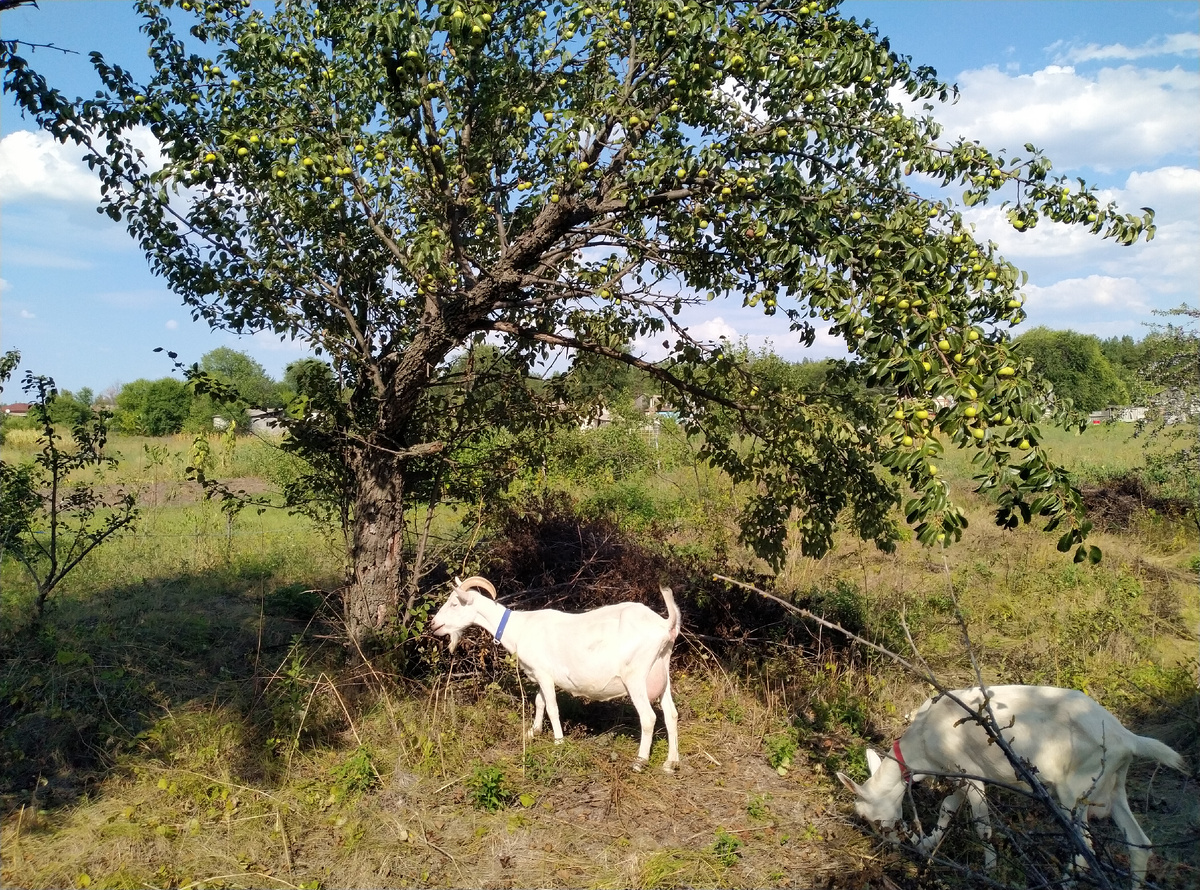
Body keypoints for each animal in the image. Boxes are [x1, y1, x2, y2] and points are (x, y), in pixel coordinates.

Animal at [432, 578, 681, 772]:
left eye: (454, 603)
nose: (434, 624)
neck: (520, 628)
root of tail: (665, 626)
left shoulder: (543, 673)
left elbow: (552, 707)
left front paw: (558, 742)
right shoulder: (541, 675)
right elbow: (539, 701)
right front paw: (533, 732)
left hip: (636, 677)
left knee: (648, 717)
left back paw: (640, 762)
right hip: (662, 672)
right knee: (671, 714)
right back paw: (671, 763)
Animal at [840, 686, 1185, 887]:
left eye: (870, 819)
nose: (888, 850)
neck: (923, 741)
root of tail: (1128, 739)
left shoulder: (972, 773)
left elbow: (982, 828)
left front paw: (989, 872)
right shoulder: (959, 775)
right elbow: (947, 809)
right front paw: (927, 844)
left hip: (1074, 791)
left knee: (1085, 845)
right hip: (1113, 787)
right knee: (1139, 843)